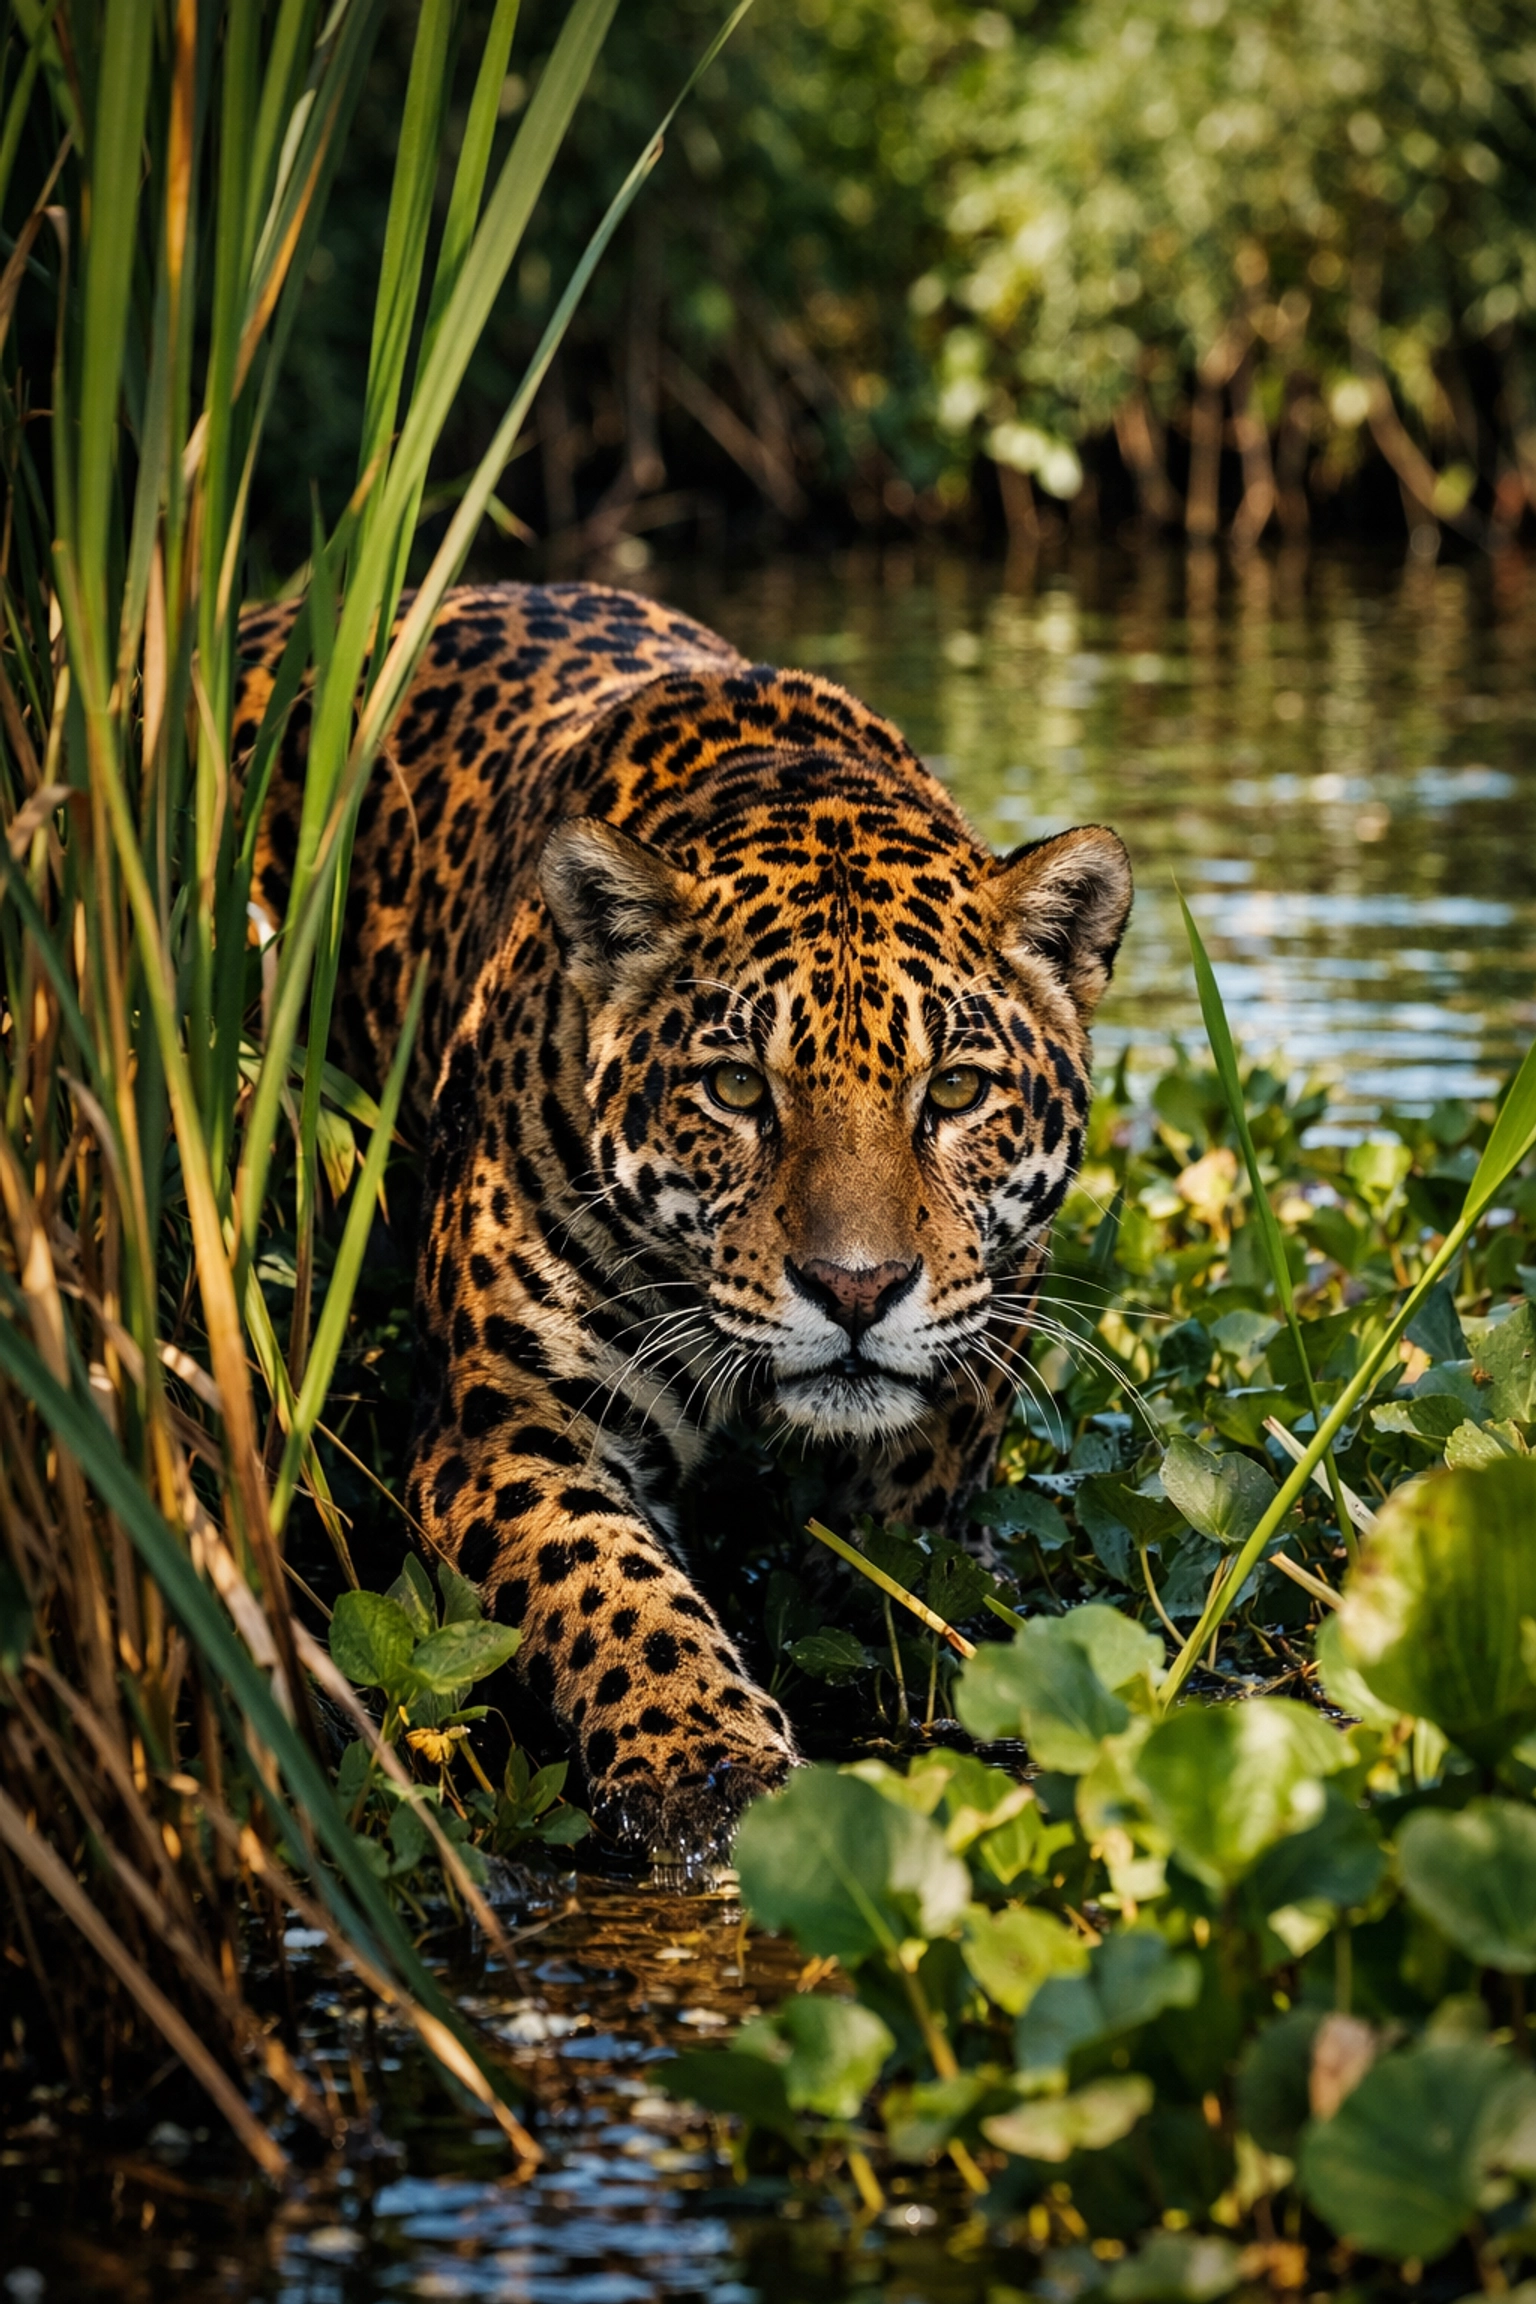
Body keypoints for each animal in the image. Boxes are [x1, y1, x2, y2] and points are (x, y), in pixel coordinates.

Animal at [236, 581, 1132, 1864]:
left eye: (956, 1091)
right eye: (738, 1089)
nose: (856, 1290)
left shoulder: (984, 1329)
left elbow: (911, 1516)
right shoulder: (510, 1421)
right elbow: (609, 1584)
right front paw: (705, 1762)